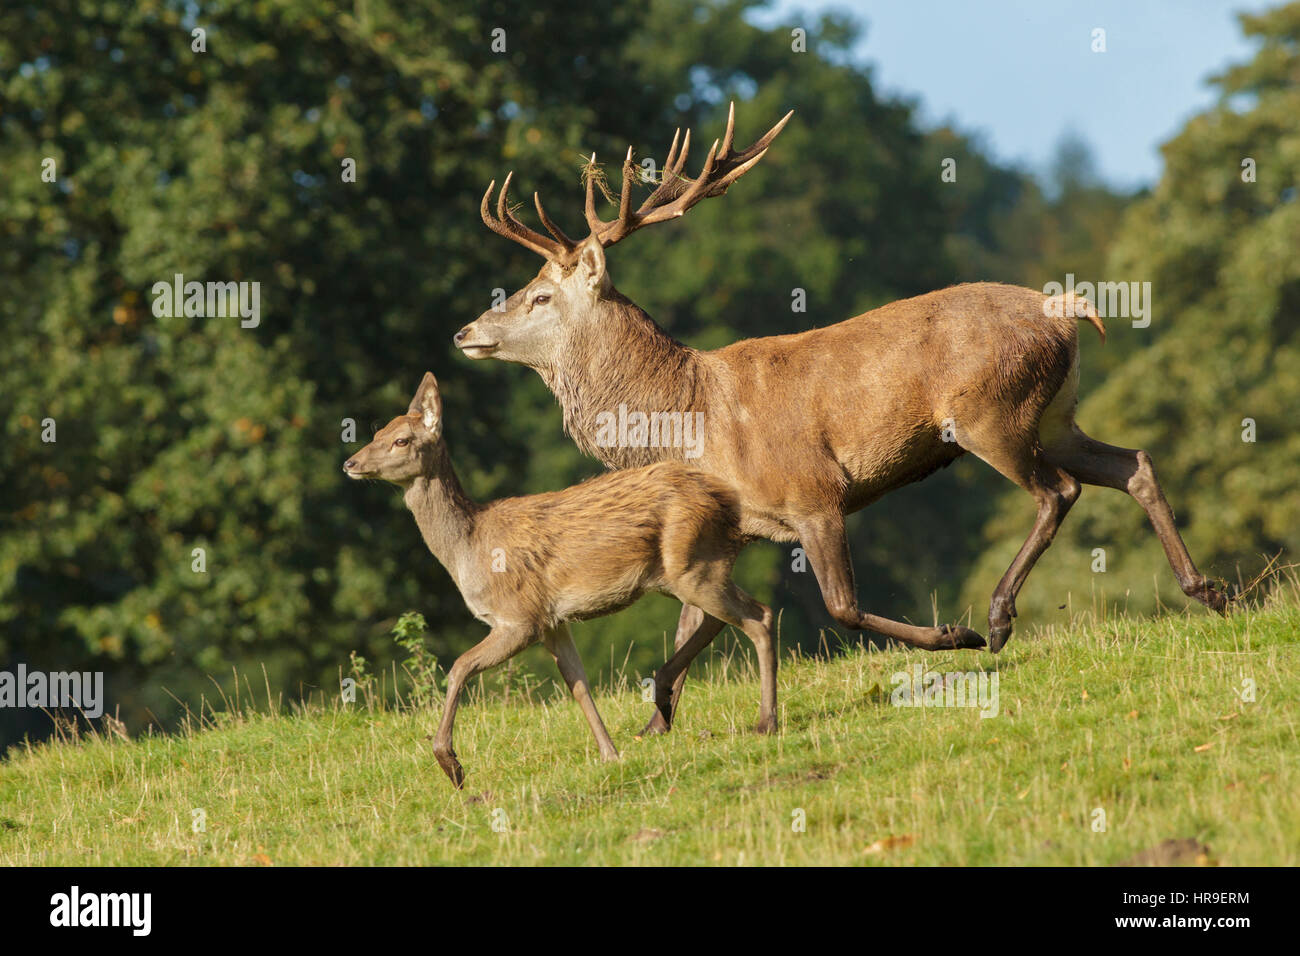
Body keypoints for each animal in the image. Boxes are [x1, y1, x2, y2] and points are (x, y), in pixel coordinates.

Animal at [344, 371, 777, 788]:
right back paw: (665, 693)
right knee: (729, 617)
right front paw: (610, 754)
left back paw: (765, 721)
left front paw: (451, 765)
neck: (468, 549)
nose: (350, 462)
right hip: (690, 570)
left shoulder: (521, 617)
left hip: (691, 565)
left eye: (401, 440)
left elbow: (459, 667)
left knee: (758, 616)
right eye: (376, 432)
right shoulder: (553, 622)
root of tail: (726, 500)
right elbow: (578, 684)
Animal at [451, 103, 1233, 737]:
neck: (687, 416)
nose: (465, 331)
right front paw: (655, 722)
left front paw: (951, 639)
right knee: (1133, 464)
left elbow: (841, 608)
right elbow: (691, 630)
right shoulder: (727, 528)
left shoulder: (815, 494)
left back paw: (997, 618)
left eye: (541, 296)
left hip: (992, 415)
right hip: (1057, 414)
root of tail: (1069, 312)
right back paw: (1207, 590)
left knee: (1057, 492)